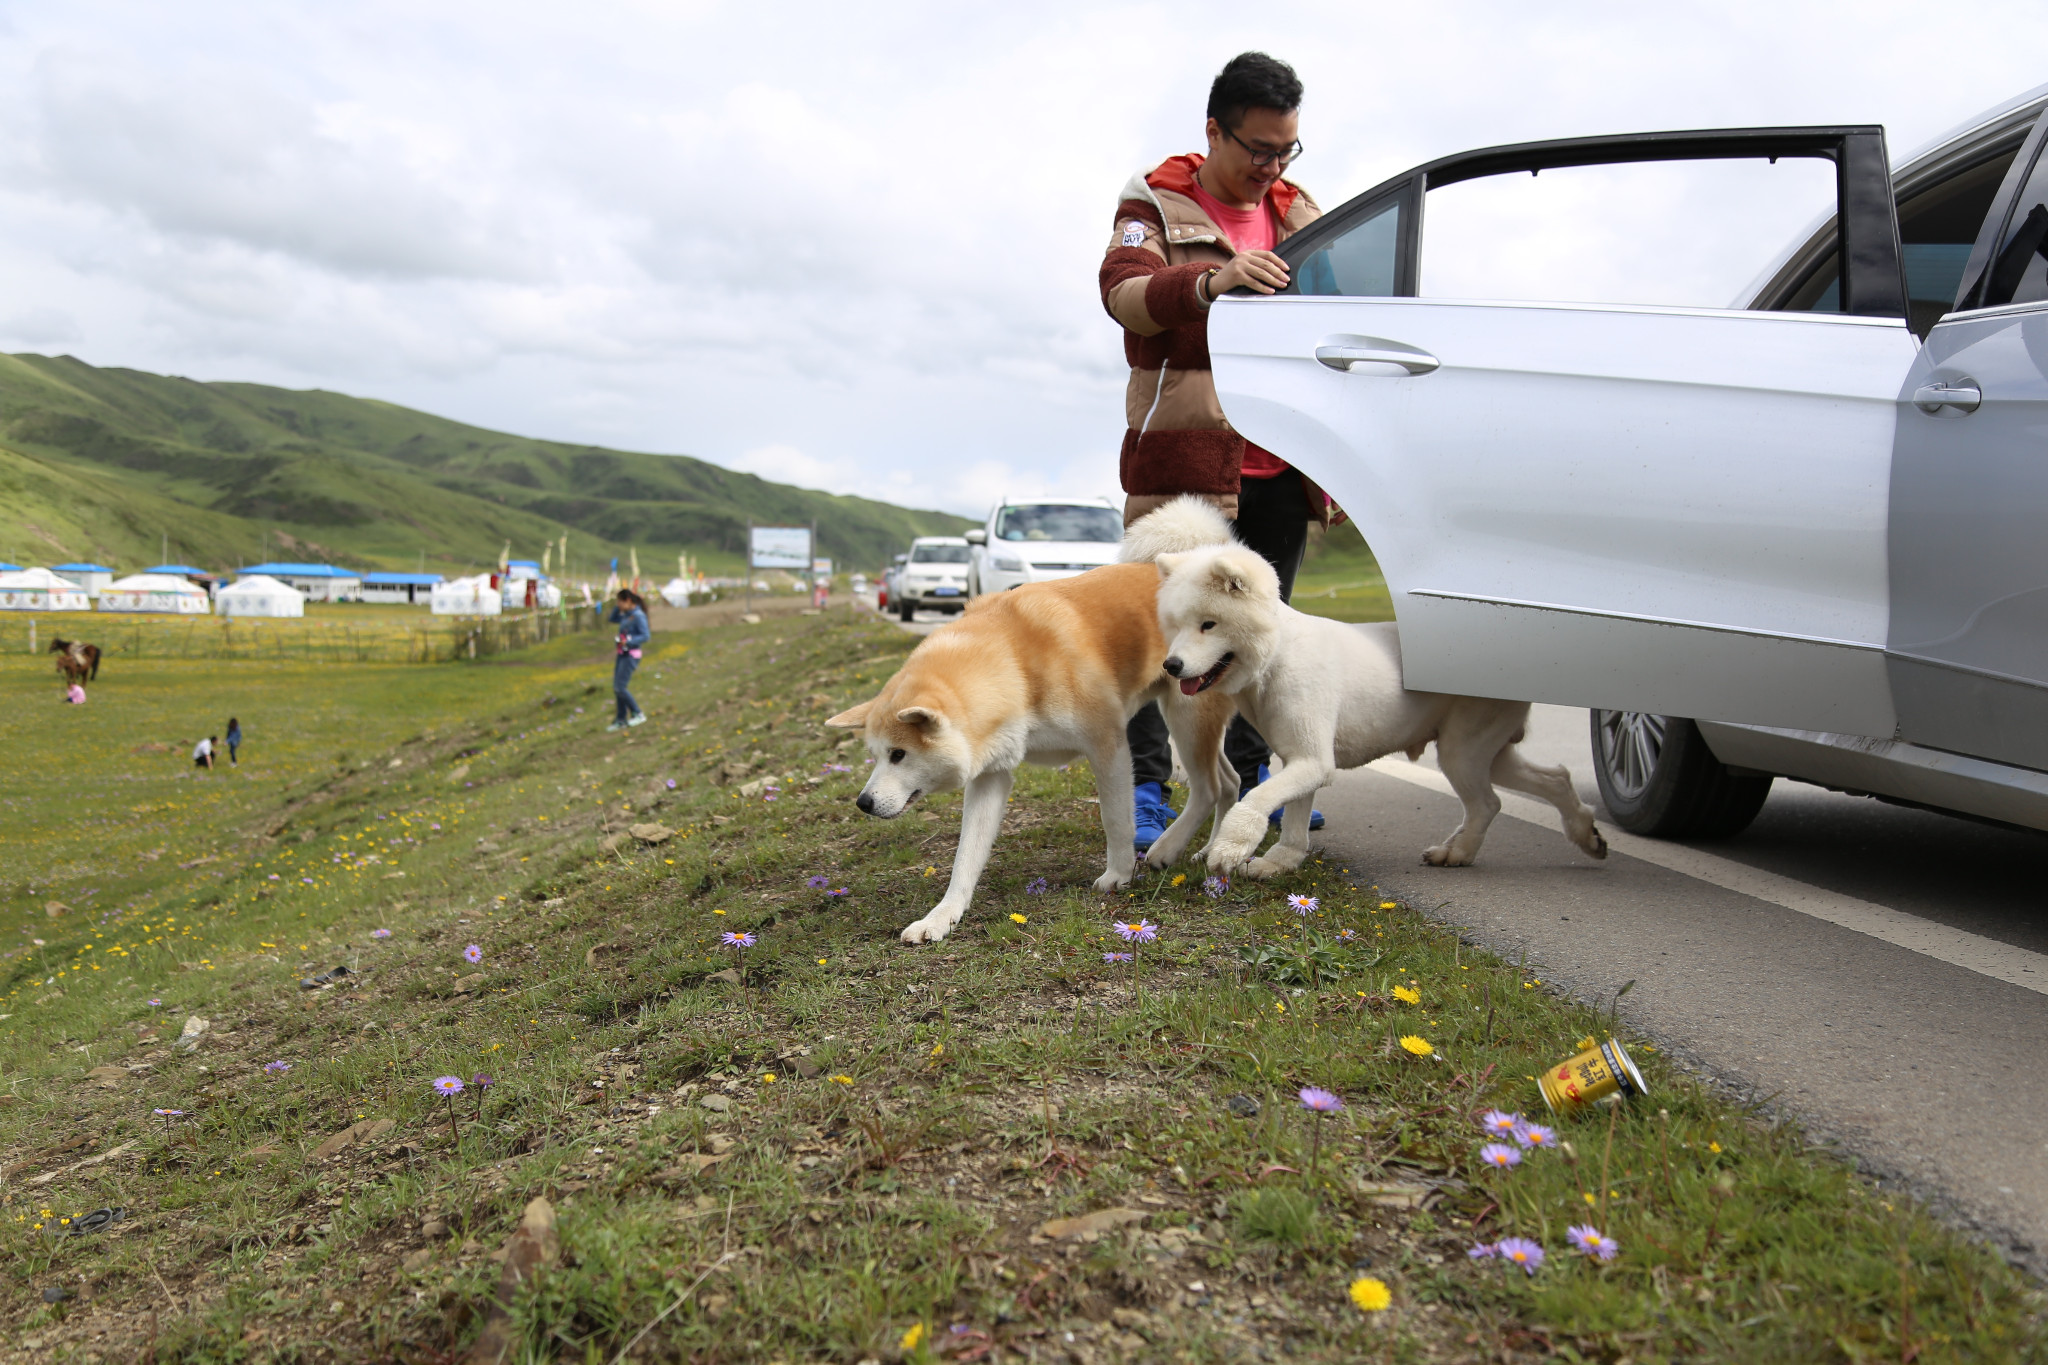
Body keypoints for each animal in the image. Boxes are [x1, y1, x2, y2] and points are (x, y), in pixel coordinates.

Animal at [1146, 499, 1605, 875]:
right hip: (1484, 748)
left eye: (1209, 624)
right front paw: (1282, 861)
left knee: (1489, 802)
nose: (1172, 666)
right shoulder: (1302, 758)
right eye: (1176, 625)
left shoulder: (1312, 761)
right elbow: (1294, 815)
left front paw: (1231, 847)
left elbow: (1257, 797)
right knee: (1553, 778)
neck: (1277, 655)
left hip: (1463, 748)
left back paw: (1458, 853)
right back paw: (1584, 834)